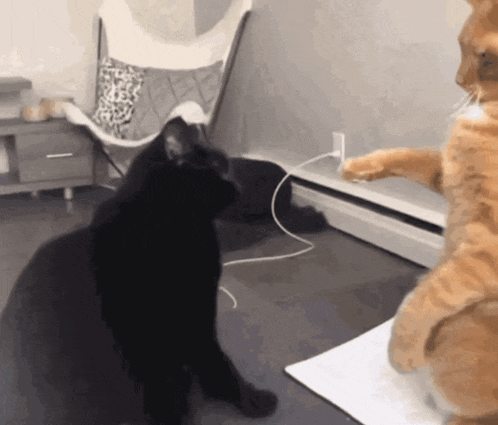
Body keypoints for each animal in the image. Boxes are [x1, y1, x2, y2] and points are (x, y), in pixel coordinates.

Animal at [0, 116, 278, 425]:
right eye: (220, 169)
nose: (238, 185)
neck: (159, 210)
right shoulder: (198, 316)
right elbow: (220, 363)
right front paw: (254, 400)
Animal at [340, 0, 498, 423]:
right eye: (459, 45)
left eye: (485, 58)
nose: (459, 82)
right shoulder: (447, 174)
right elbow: (406, 156)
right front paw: (357, 169)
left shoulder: (486, 250)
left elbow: (429, 297)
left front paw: (403, 353)